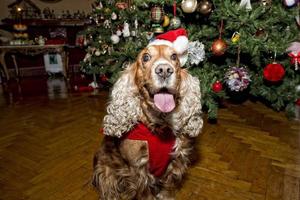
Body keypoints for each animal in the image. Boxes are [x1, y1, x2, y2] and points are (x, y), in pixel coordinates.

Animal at [92, 44, 203, 199]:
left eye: (174, 56)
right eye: (146, 57)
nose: (164, 70)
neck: (160, 125)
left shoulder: (176, 160)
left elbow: (168, 187)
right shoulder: (138, 168)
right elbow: (145, 193)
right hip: (106, 171)